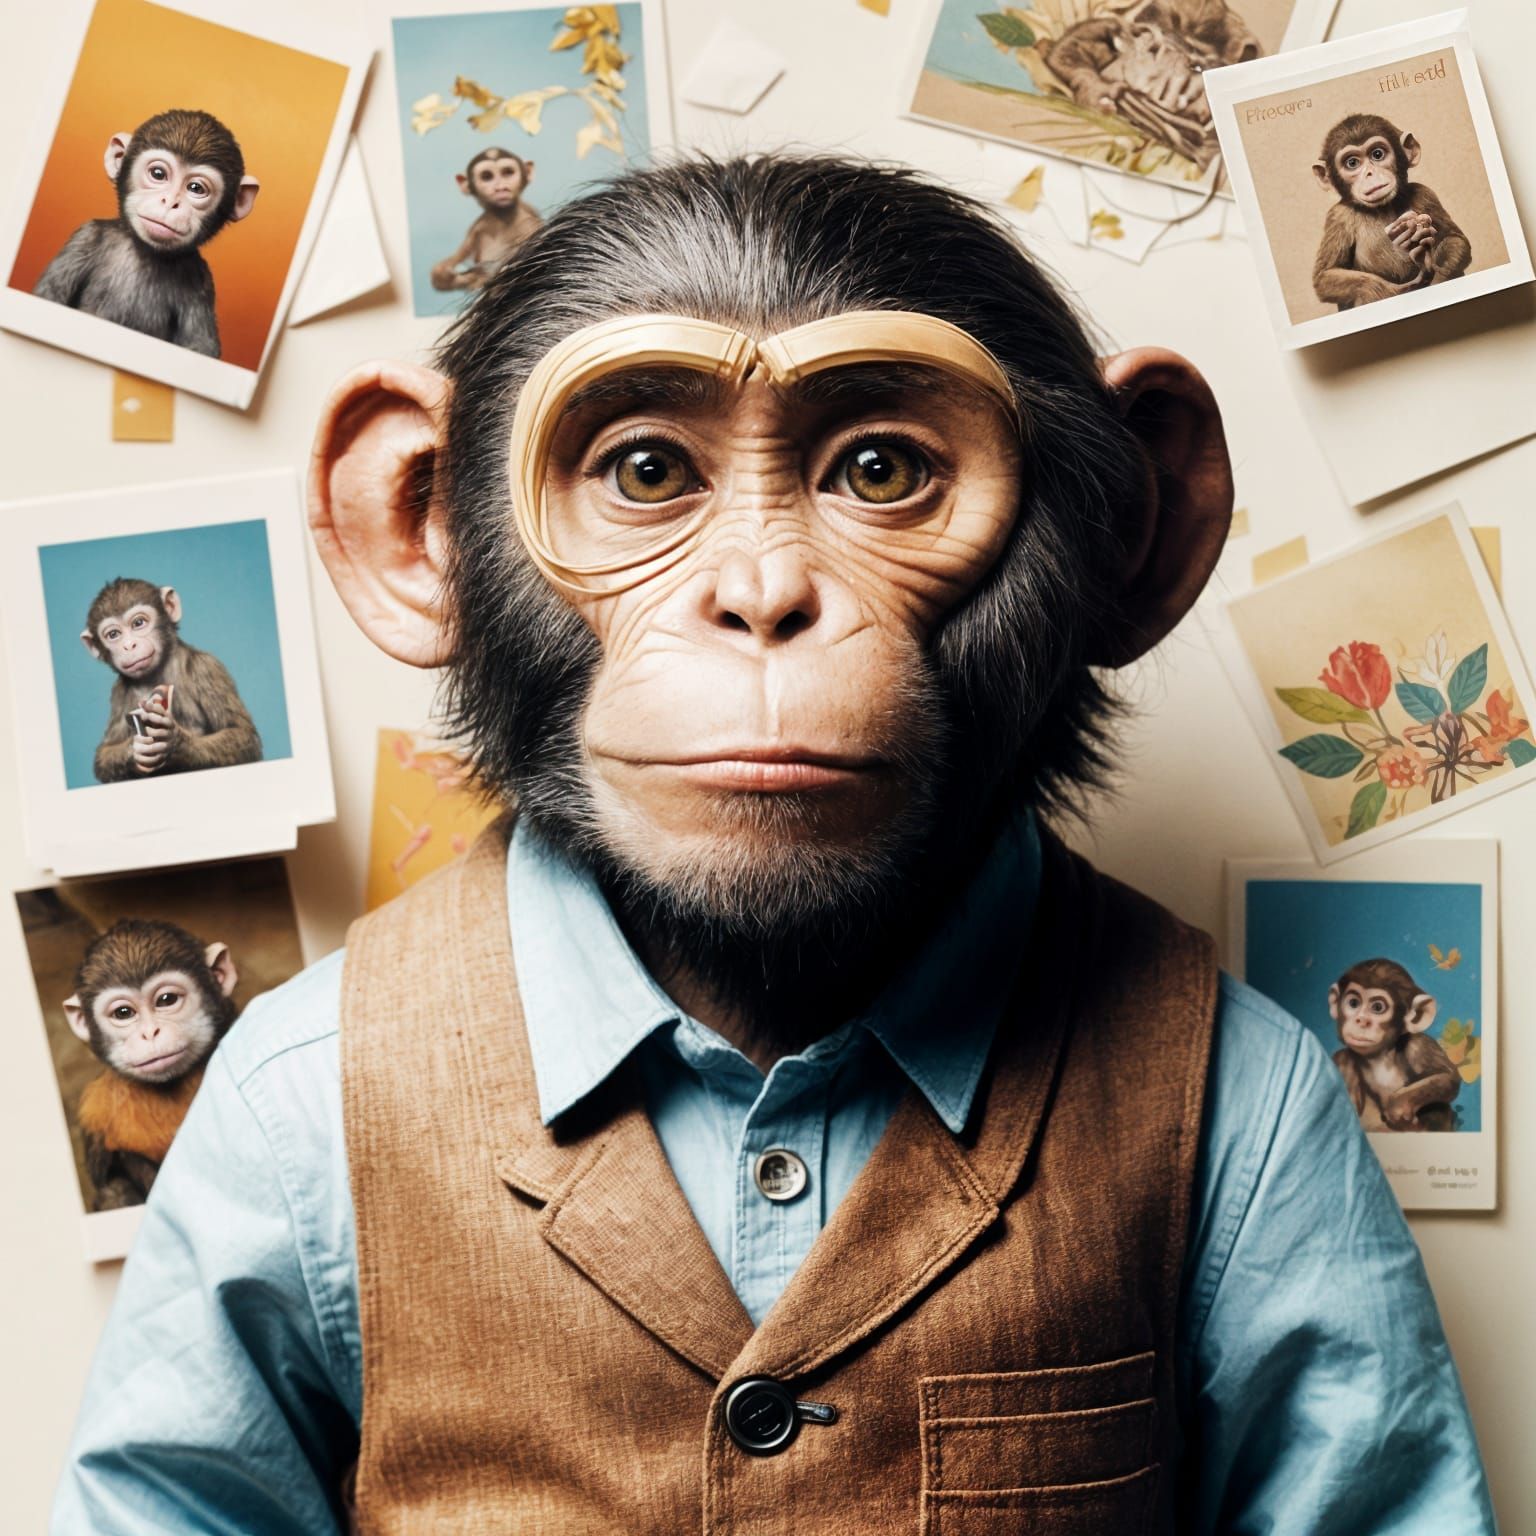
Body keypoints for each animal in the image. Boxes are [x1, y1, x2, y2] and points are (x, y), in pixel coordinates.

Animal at [32, 109, 259, 358]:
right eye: (158, 174)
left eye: (196, 188)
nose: (170, 202)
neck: (146, 251)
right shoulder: (84, 238)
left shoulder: (202, 281)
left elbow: (200, 346)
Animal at [81, 577, 262, 783]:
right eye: (113, 635)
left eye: (138, 623)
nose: (129, 645)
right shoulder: (118, 692)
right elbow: (105, 753)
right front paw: (134, 749)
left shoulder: (206, 668)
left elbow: (241, 733)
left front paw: (173, 740)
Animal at [430, 147, 543, 293]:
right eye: (486, 176)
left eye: (508, 172)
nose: (501, 188)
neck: (503, 219)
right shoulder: (477, 228)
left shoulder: (529, 225)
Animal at [1311, 114, 1471, 312]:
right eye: (1352, 163)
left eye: (1377, 154)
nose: (1370, 173)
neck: (1382, 208)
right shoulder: (1338, 218)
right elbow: (1325, 276)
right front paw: (1397, 289)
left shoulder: (1425, 194)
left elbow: (1455, 238)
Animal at [1328, 958, 1461, 1132]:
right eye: (1353, 1003)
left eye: (1377, 1007)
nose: (1361, 1020)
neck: (1380, 1057)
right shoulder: (1340, 1060)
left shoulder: (1421, 1045)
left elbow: (1447, 1076)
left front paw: (1398, 1106)